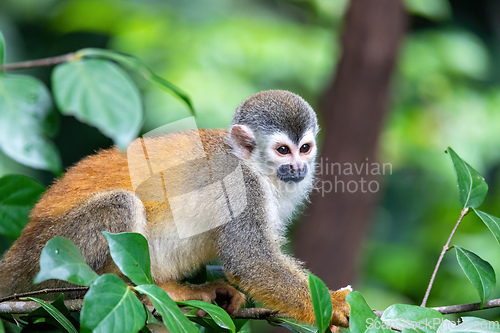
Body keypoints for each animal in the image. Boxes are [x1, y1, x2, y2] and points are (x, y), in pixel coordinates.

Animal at [0, 89, 352, 326]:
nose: (298, 168)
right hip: (46, 254)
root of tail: (17, 252)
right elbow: (251, 261)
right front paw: (334, 304)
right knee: (121, 205)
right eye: (282, 150)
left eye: (304, 148)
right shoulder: (242, 187)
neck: (252, 165)